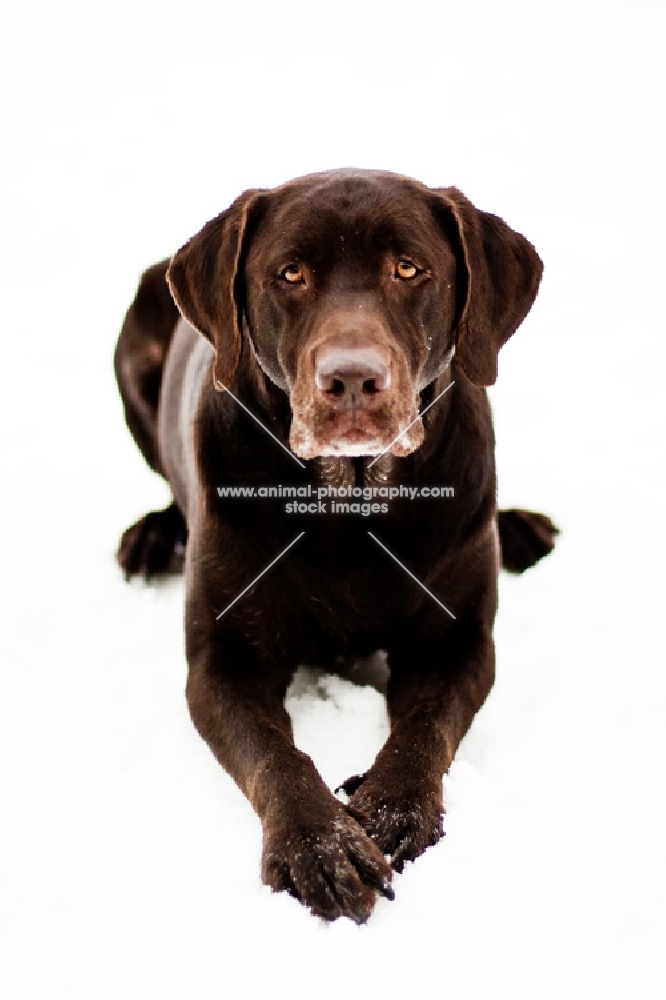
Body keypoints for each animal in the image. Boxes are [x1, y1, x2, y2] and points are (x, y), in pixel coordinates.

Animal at [114, 170, 556, 920]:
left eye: (409, 269)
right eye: (290, 273)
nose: (352, 379)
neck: (349, 507)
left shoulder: (458, 642)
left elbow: (426, 729)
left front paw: (391, 810)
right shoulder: (223, 660)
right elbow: (275, 754)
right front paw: (317, 845)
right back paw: (152, 536)